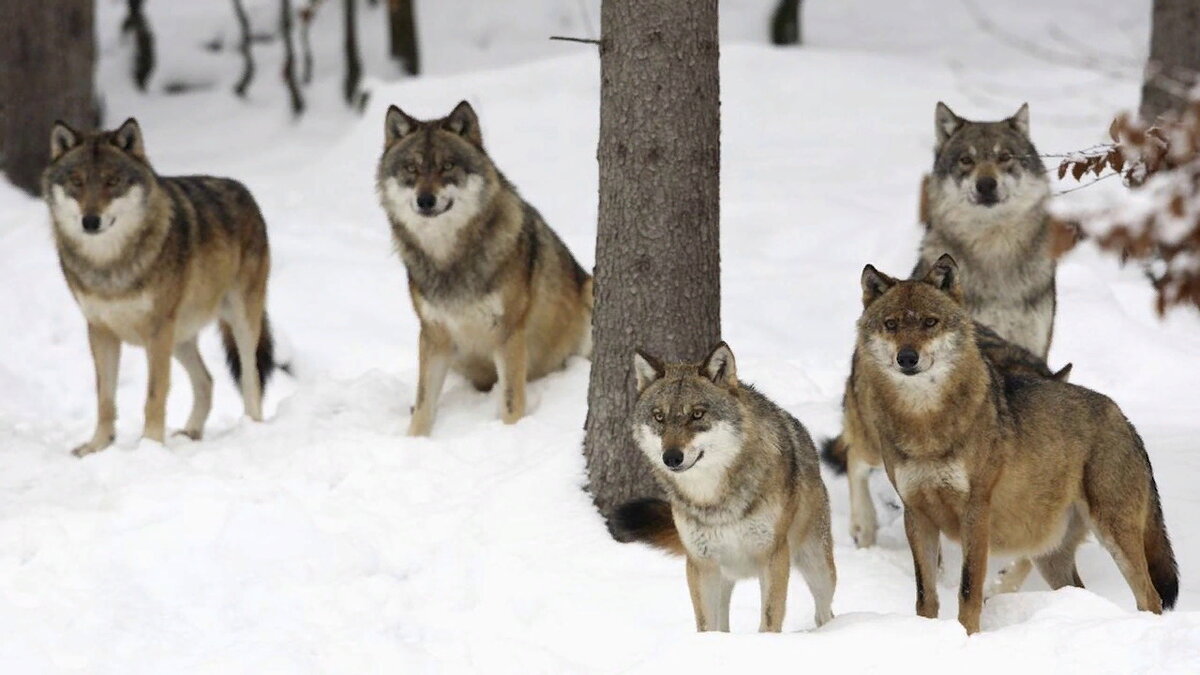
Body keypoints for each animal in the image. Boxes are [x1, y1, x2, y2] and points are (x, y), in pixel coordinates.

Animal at [42, 118, 278, 454]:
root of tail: (243, 190)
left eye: (113, 181)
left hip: (238, 323)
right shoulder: (100, 331)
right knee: (207, 380)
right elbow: (105, 400)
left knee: (251, 376)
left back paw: (251, 427)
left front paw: (150, 445)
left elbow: (154, 396)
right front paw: (97, 446)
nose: (90, 221)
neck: (110, 264)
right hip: (179, 338)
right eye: (77, 181)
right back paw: (191, 432)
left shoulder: (157, 331)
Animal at [376, 102, 592, 432]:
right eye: (412, 169)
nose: (425, 200)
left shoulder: (508, 333)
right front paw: (415, 439)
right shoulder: (433, 336)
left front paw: (511, 433)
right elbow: (423, 405)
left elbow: (512, 402)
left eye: (447, 166)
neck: (449, 258)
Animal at [614, 341, 840, 629]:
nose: (671, 458)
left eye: (697, 414)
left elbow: (769, 622)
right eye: (659, 417)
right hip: (724, 577)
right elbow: (707, 627)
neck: (714, 499)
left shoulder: (774, 556)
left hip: (817, 566)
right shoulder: (700, 564)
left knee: (824, 611)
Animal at [849, 254, 1176, 634]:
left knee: (1151, 597)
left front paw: (967, 636)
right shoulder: (916, 514)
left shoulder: (976, 512)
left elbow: (968, 589)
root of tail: (1123, 418)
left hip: (1112, 534)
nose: (907, 357)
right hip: (1050, 553)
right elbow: (924, 594)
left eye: (930, 322)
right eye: (891, 324)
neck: (925, 423)